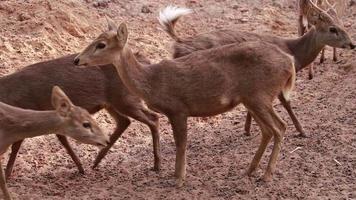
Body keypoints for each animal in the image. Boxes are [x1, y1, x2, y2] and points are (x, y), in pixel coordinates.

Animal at [2, 52, 161, 180]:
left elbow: (17, 144)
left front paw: (7, 174)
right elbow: (62, 139)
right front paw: (81, 168)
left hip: (125, 98)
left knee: (152, 118)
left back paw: (157, 164)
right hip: (112, 103)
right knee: (125, 121)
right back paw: (96, 162)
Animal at [74, 19, 298, 188]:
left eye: (101, 44)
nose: (77, 60)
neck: (152, 82)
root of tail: (289, 62)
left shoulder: (178, 109)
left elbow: (181, 143)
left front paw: (178, 179)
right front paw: (176, 175)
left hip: (260, 95)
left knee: (280, 127)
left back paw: (266, 175)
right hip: (250, 99)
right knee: (268, 130)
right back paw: (250, 170)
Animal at [158, 1, 354, 138]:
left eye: (342, 25)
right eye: (332, 29)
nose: (352, 44)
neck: (292, 51)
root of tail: (180, 43)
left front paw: (247, 129)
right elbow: (287, 103)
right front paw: (302, 131)